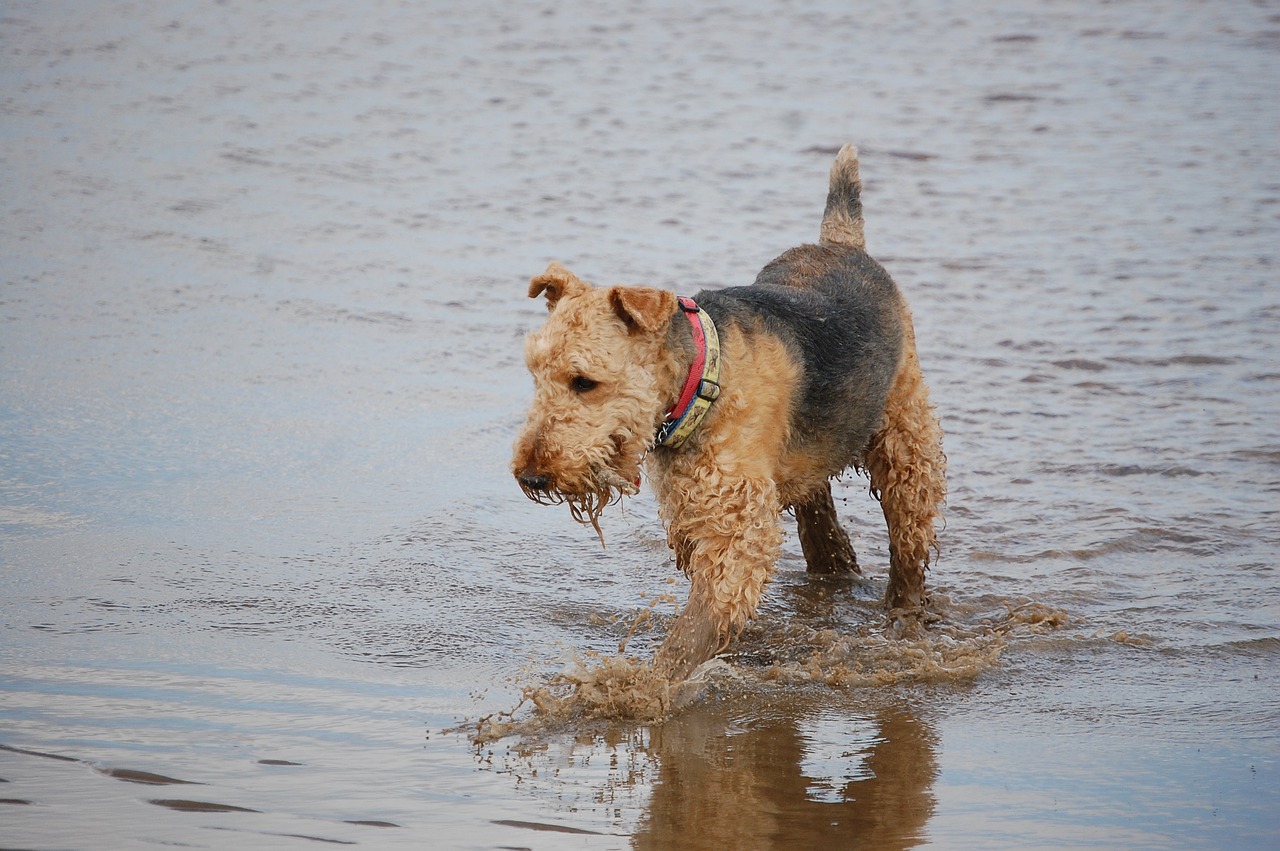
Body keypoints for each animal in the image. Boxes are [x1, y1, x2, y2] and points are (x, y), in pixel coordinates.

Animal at [514, 144, 947, 675]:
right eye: (535, 373)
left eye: (583, 382)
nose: (532, 476)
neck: (702, 380)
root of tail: (843, 244)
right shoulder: (692, 515)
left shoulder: (736, 527)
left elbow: (690, 635)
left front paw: (643, 687)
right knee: (820, 519)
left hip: (906, 443)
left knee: (908, 548)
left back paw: (904, 618)